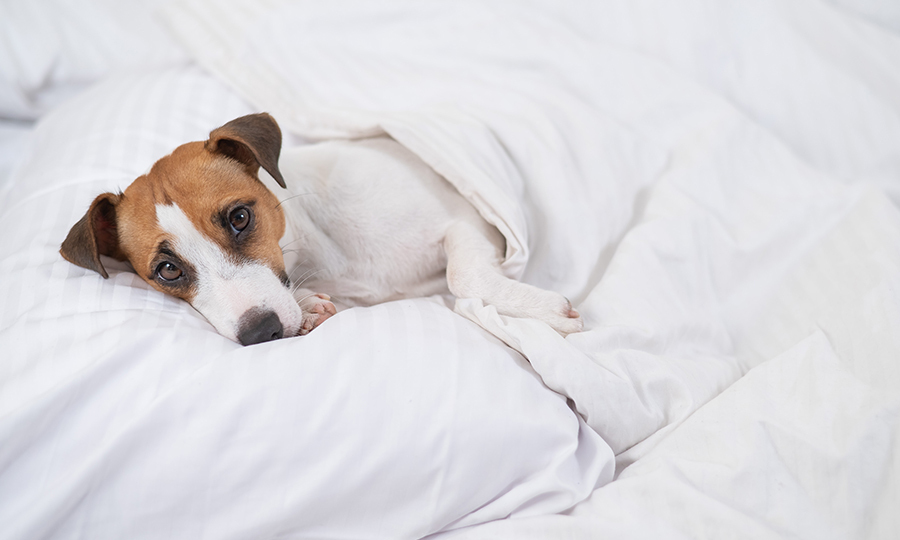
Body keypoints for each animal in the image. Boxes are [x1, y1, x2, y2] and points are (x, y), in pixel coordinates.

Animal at [58, 114, 584, 346]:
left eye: (240, 218)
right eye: (167, 270)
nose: (261, 333)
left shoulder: (468, 219)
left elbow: (464, 276)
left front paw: (541, 312)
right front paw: (311, 306)